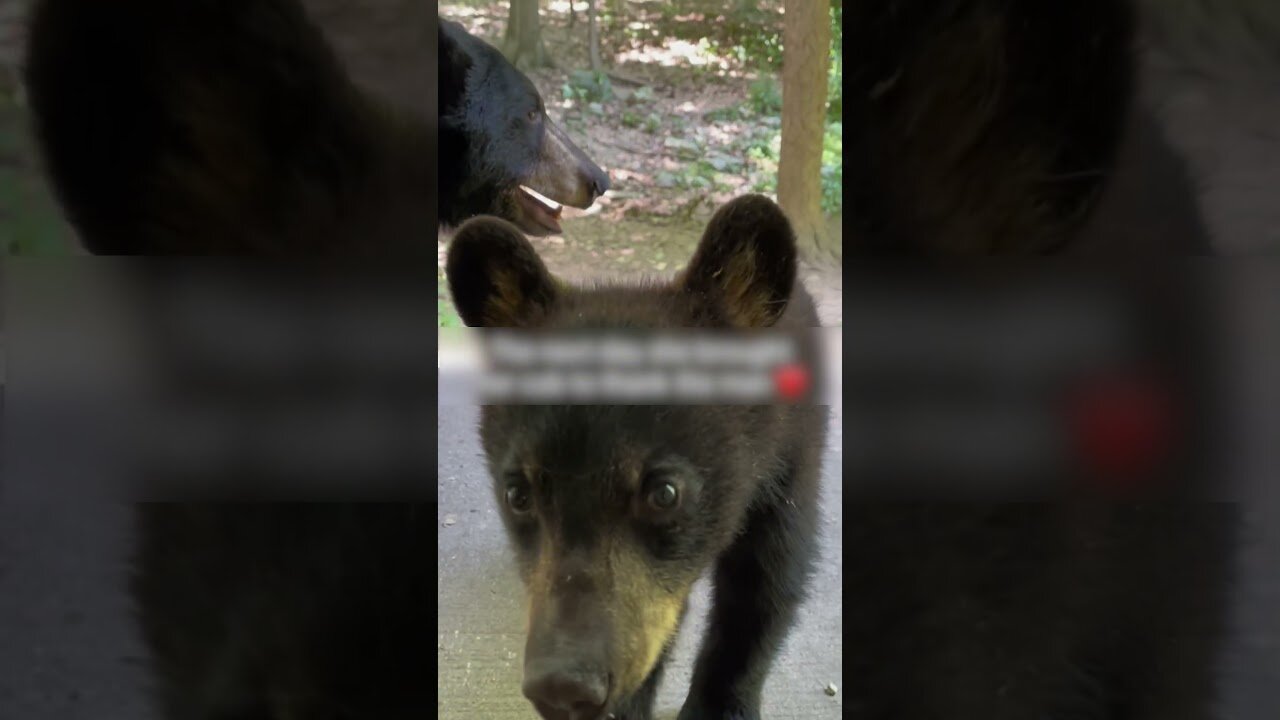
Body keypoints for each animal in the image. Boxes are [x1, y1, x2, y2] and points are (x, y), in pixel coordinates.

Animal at [444, 193, 829, 720]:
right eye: (517, 495)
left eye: (664, 492)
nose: (562, 687)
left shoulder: (790, 464)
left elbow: (765, 583)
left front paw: (720, 704)